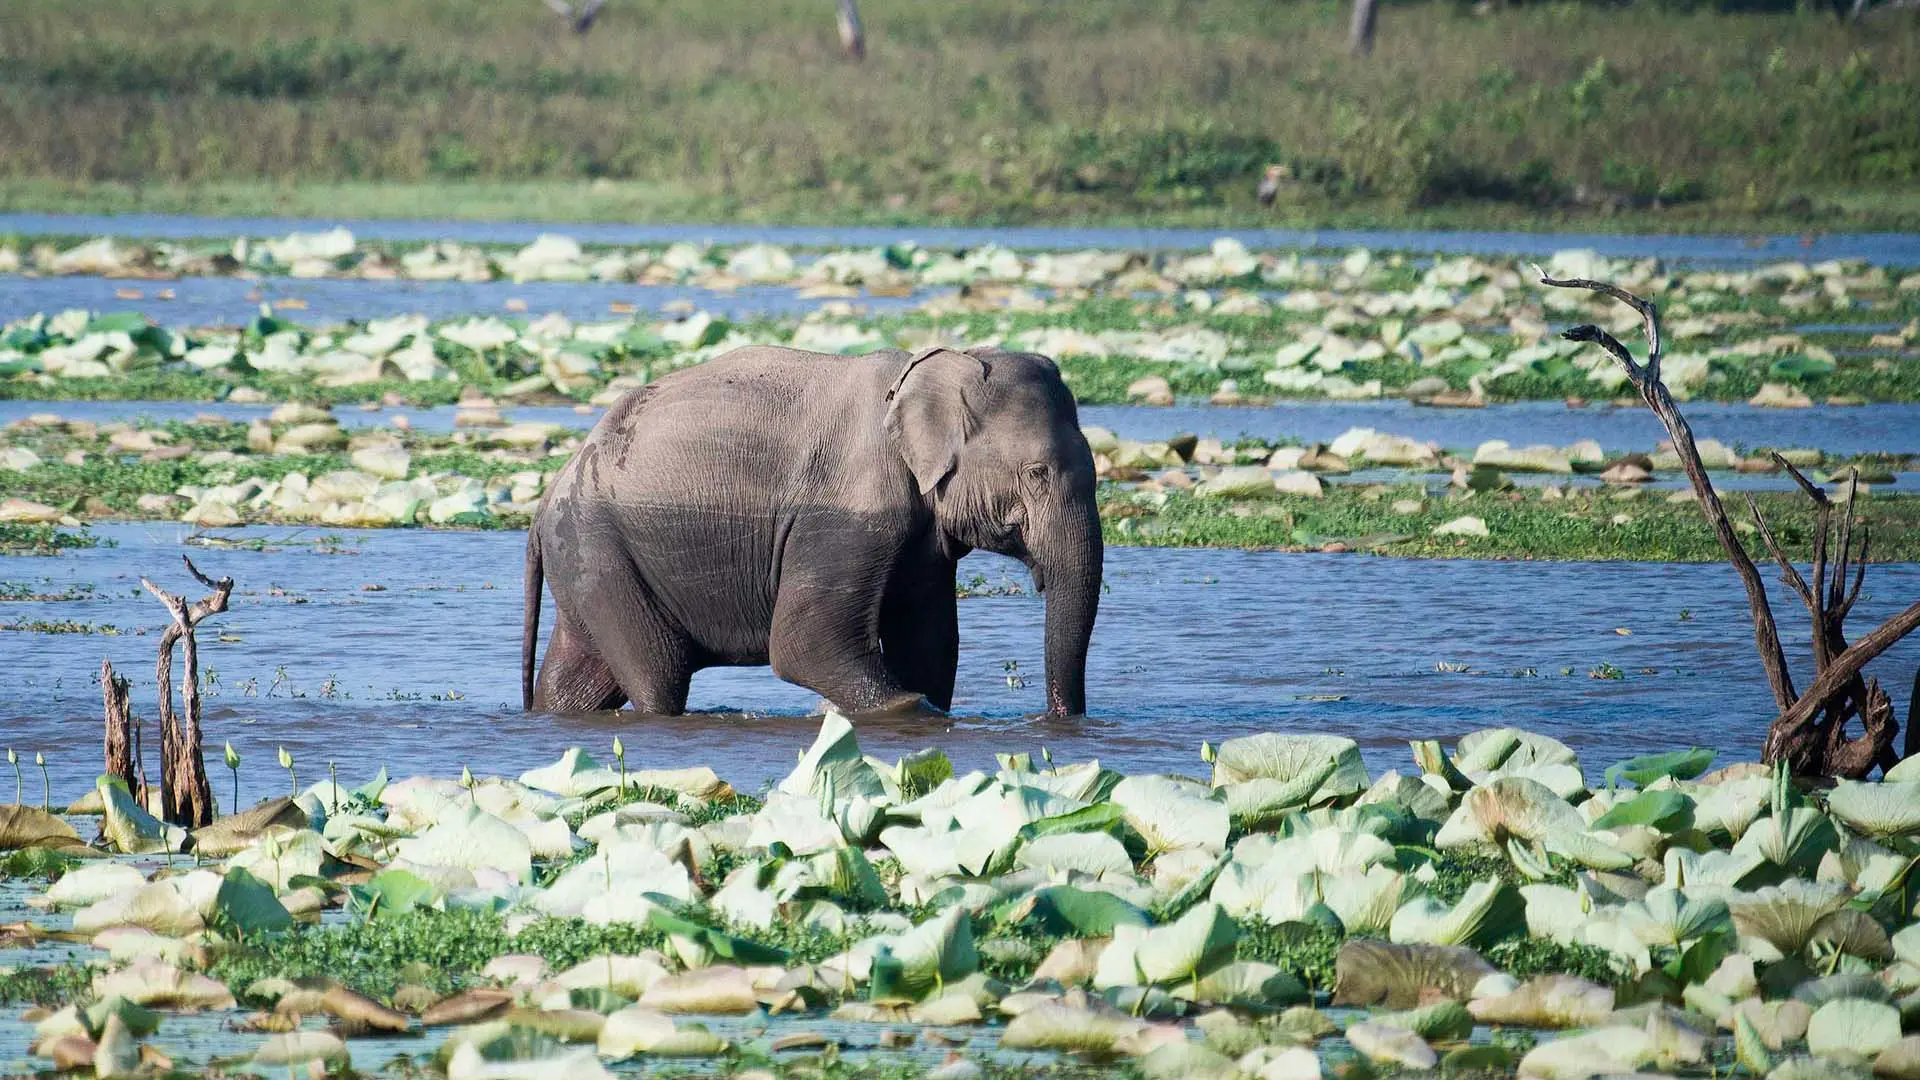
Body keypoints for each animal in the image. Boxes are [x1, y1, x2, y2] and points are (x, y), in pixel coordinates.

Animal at [521, 343, 1102, 719]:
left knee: (577, 678)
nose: (1059, 718)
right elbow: (805, 645)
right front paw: (898, 711)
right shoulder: (846, 513)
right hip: (601, 553)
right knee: (658, 676)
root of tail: (548, 496)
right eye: (1037, 473)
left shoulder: (920, 532)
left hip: (590, 563)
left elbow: (929, 641)